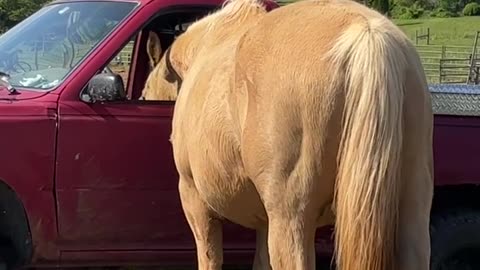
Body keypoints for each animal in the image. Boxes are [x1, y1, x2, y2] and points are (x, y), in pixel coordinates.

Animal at [141, 0, 434, 270]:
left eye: (144, 94)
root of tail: (366, 34)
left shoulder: (195, 200)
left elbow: (210, 258)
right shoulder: (263, 222)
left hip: (292, 221)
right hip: (412, 214)